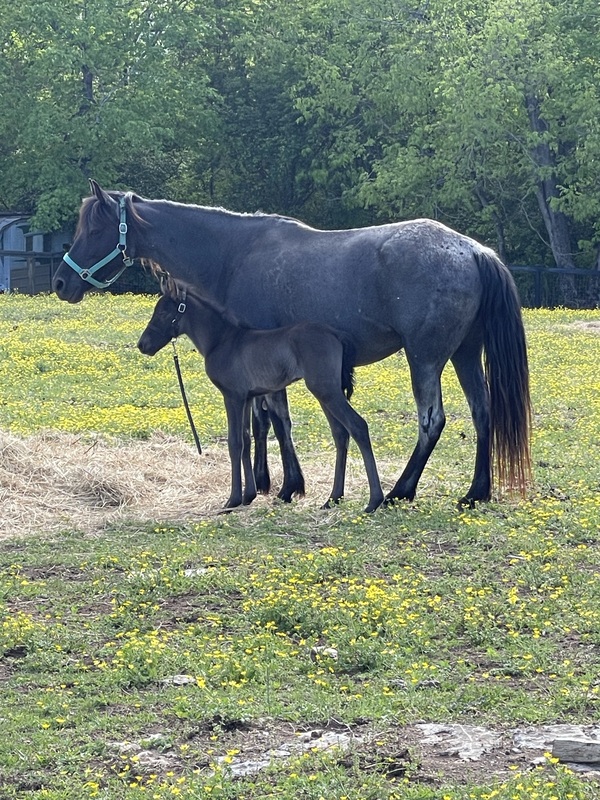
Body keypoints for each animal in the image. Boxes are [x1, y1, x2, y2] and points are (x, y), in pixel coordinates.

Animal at [138, 278, 382, 512]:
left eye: (163, 312)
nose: (143, 345)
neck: (222, 340)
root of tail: (336, 334)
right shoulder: (247, 398)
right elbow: (246, 440)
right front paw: (248, 496)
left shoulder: (233, 396)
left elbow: (234, 442)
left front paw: (232, 500)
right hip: (327, 392)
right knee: (340, 433)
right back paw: (332, 499)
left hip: (325, 390)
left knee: (358, 426)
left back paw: (373, 501)